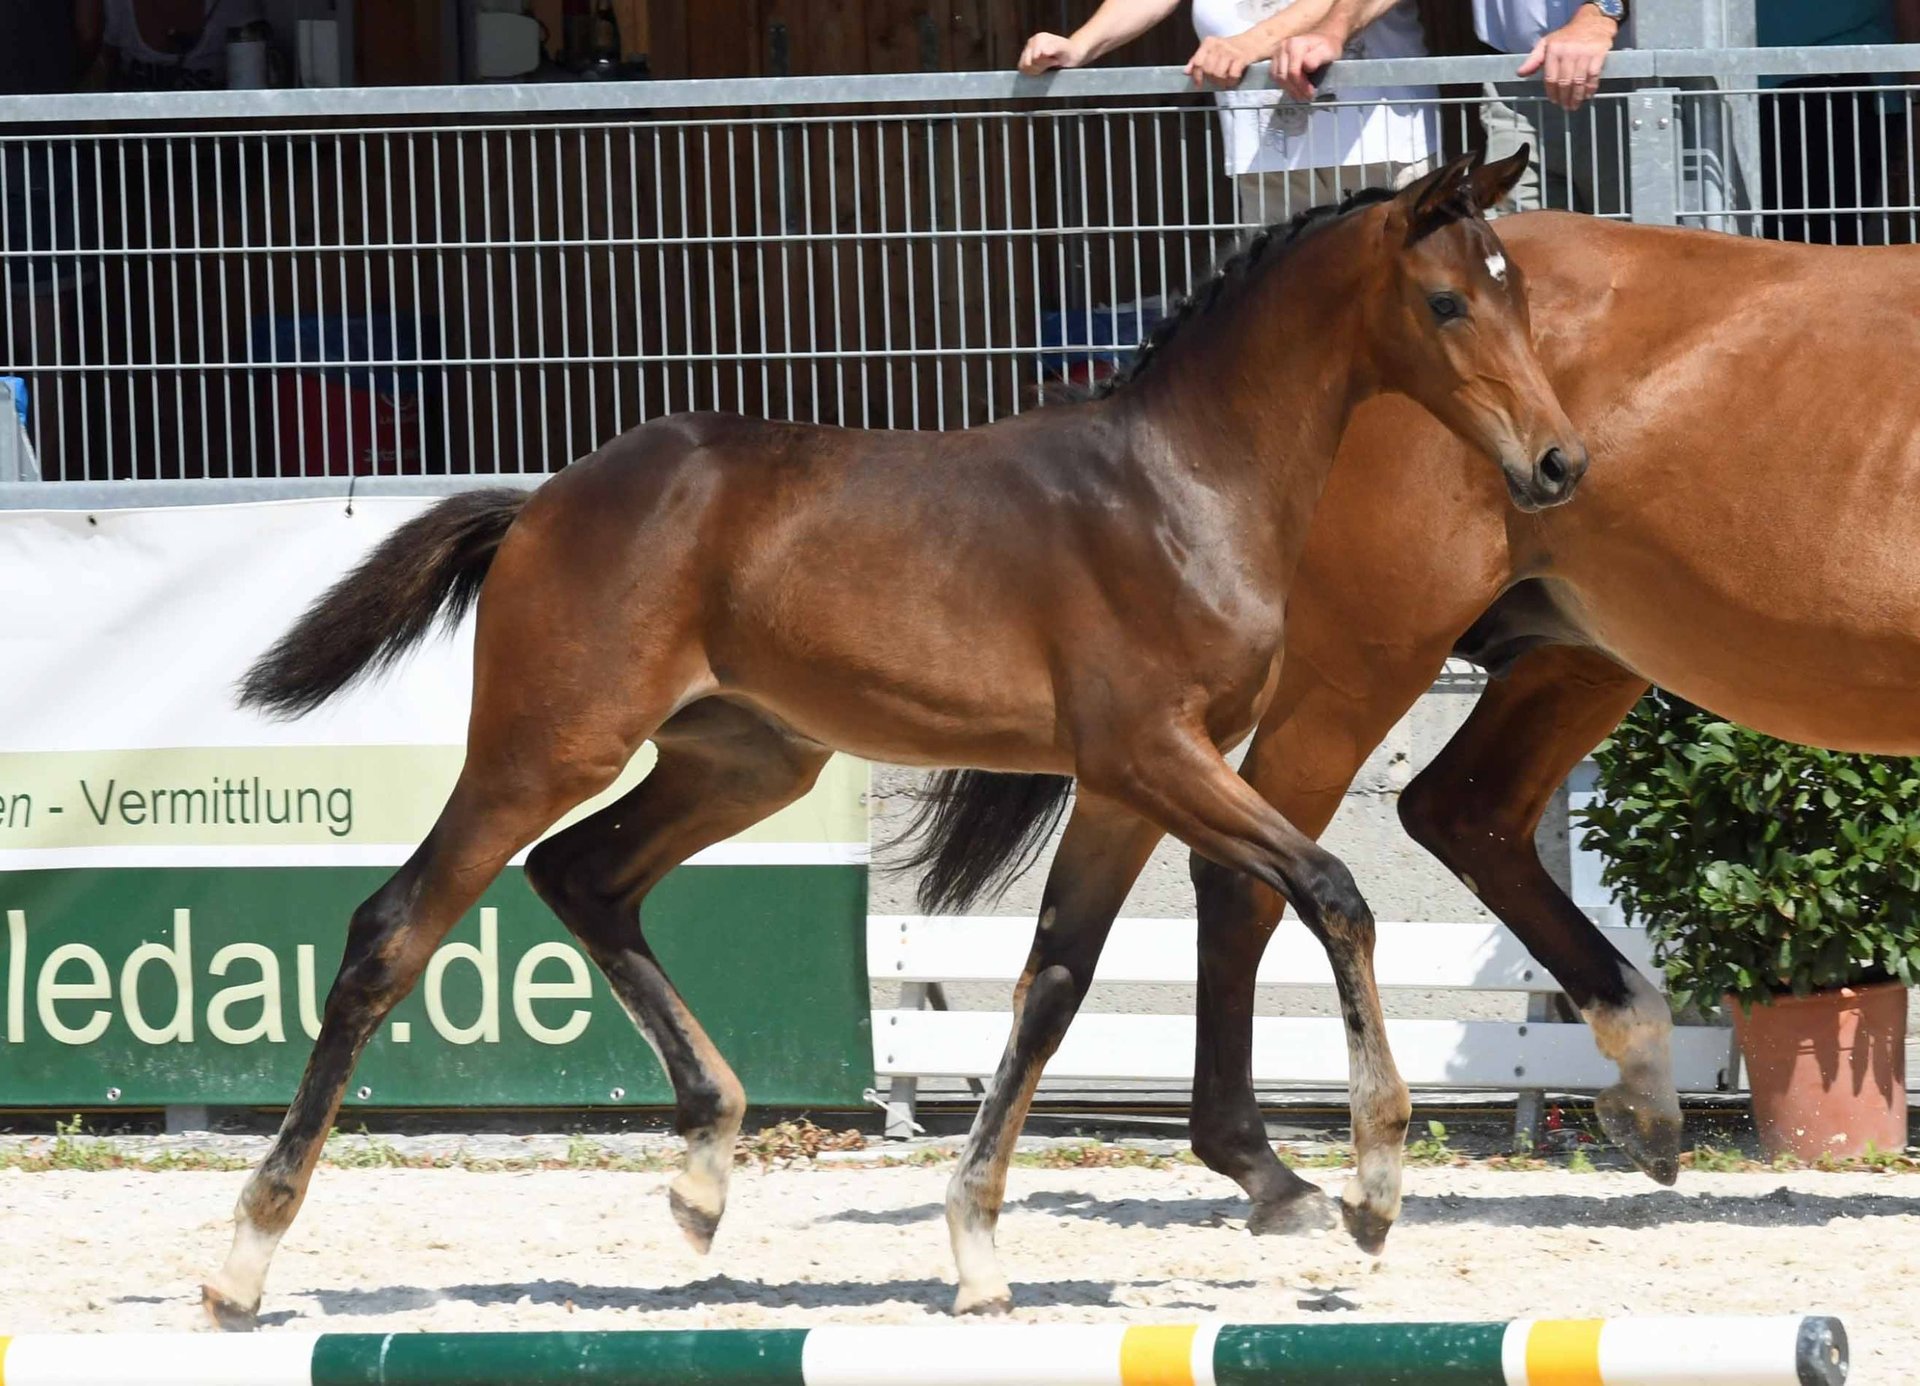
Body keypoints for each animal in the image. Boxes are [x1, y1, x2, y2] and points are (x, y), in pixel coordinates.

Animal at [197, 148, 1580, 1328]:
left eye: (1519, 296)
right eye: (1449, 303)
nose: (1560, 464)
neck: (1184, 484)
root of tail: (542, 502)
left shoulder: (1123, 787)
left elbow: (1054, 982)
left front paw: (978, 1245)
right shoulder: (1151, 755)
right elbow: (1333, 891)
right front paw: (1367, 1185)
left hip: (748, 757)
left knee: (583, 874)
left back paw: (703, 1171)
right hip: (544, 749)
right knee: (395, 927)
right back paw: (246, 1256)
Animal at [907, 208, 1920, 1270]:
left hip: (1577, 654)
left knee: (1458, 811)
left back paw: (1639, 1093)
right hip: (1359, 668)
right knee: (1254, 876)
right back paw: (1276, 1167)